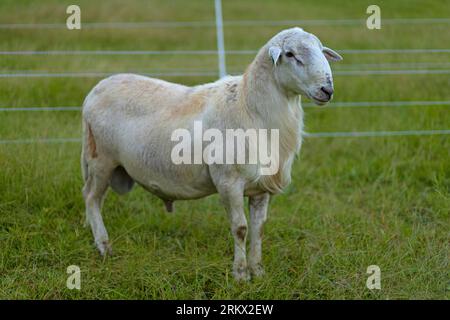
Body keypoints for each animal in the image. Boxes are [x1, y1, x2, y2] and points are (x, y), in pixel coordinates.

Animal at [81, 26, 342, 280]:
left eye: (321, 50)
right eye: (290, 54)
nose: (327, 90)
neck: (249, 107)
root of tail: (96, 90)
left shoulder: (260, 188)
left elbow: (258, 229)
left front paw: (258, 271)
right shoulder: (229, 182)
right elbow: (240, 228)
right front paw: (240, 275)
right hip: (100, 159)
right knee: (92, 198)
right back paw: (104, 246)